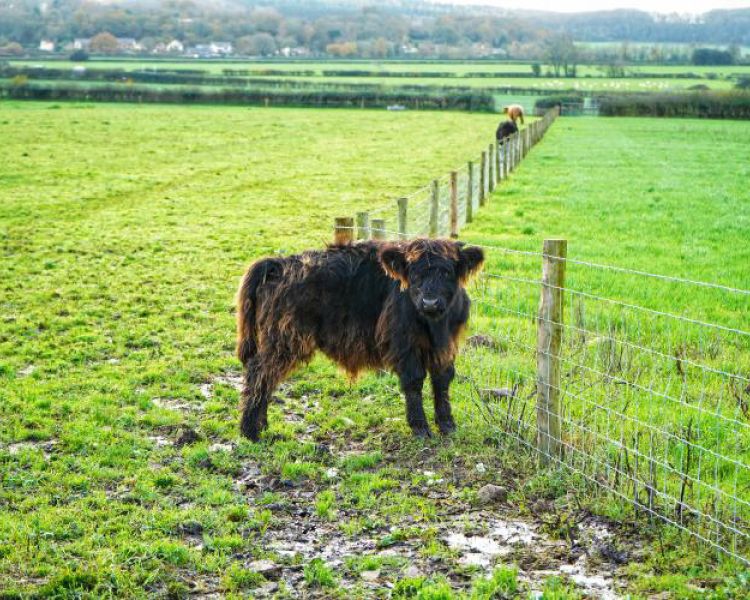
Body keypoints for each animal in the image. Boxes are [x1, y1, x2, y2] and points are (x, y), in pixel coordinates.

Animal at [235, 239, 484, 441]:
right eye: (414, 274)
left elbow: (442, 380)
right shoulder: (404, 343)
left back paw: (262, 426)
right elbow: (414, 381)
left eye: (447, 272)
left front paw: (448, 425)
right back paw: (251, 431)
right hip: (284, 338)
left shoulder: (446, 345)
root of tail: (278, 264)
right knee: (259, 373)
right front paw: (421, 429)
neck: (434, 325)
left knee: (266, 377)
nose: (430, 302)